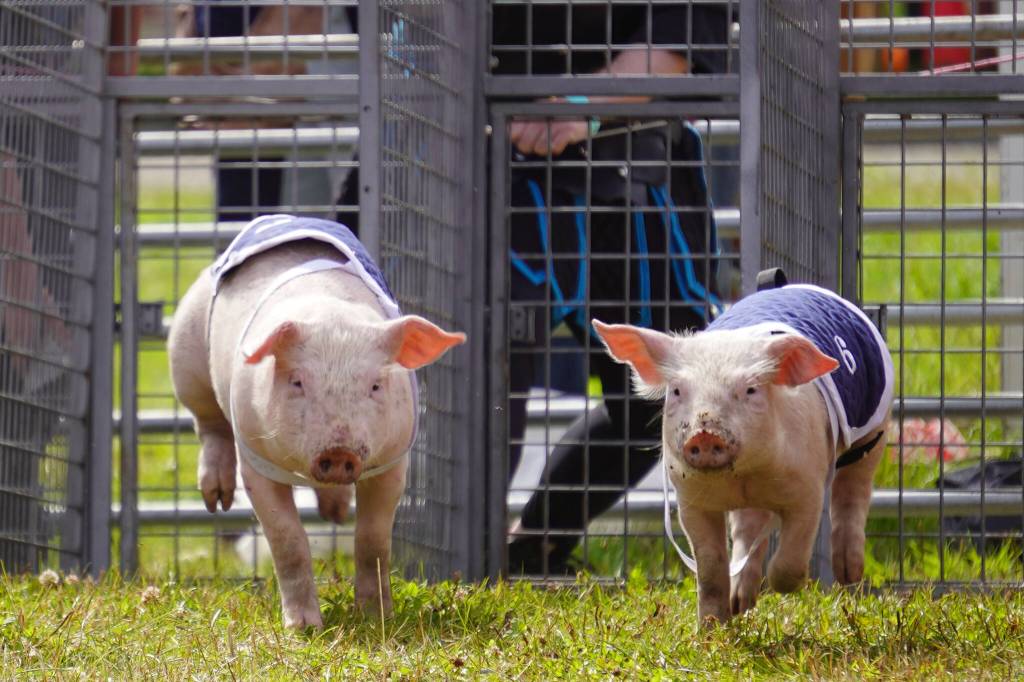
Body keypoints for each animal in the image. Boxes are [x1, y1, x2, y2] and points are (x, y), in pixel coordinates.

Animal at [168, 214, 465, 628]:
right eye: (297, 382)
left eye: (376, 385)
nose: (339, 453)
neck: (332, 316)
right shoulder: (255, 456)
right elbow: (287, 540)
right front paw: (304, 628)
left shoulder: (393, 459)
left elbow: (373, 541)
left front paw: (377, 619)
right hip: (186, 349)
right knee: (208, 423)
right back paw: (217, 500)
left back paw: (334, 512)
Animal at [592, 283, 893, 626]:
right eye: (678, 390)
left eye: (750, 390)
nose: (705, 433)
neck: (744, 475)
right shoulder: (691, 500)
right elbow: (710, 569)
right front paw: (712, 627)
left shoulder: (808, 487)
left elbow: (792, 556)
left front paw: (781, 587)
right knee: (748, 527)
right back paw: (740, 601)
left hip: (875, 428)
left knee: (853, 490)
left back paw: (849, 574)